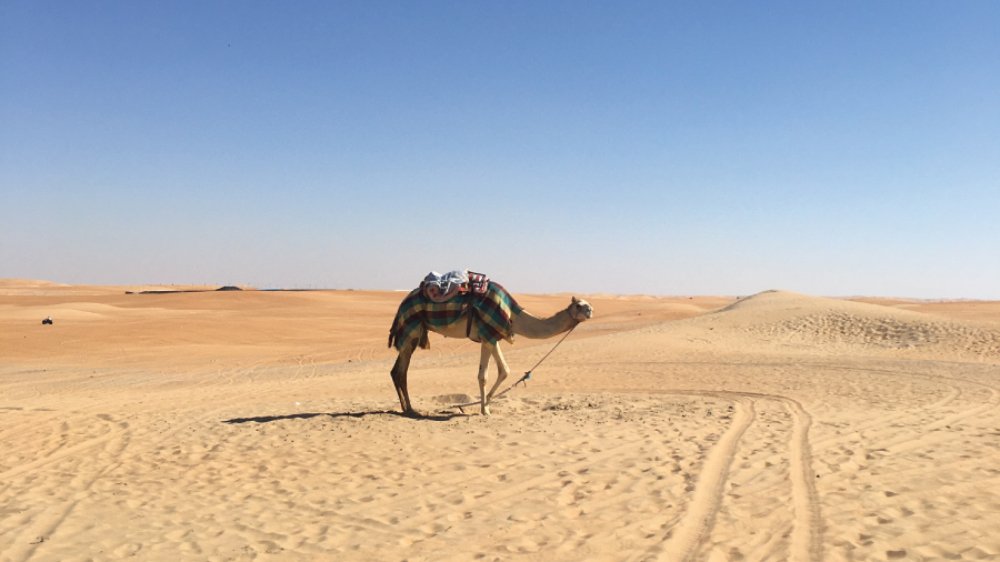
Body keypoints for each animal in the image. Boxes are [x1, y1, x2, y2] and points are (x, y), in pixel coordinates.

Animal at [389, 290, 593, 416]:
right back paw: (410, 409)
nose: (591, 310)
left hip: (413, 334)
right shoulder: (488, 334)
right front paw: (485, 409)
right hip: (411, 329)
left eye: (587, 303)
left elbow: (493, 372)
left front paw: (485, 405)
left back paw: (407, 408)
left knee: (397, 371)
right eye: (579, 305)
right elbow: (497, 372)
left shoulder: (490, 337)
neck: (513, 316)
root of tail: (402, 304)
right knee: (401, 371)